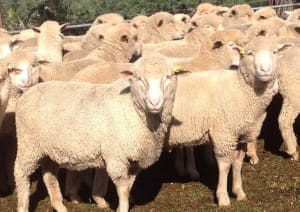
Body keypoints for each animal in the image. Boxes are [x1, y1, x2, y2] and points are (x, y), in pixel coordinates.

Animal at [13, 55, 188, 212]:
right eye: (138, 78)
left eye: (169, 76)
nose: (154, 102)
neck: (133, 109)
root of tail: (29, 92)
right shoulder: (116, 157)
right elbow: (123, 190)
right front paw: (122, 208)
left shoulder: (134, 162)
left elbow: (129, 187)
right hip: (28, 145)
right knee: (20, 173)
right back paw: (23, 206)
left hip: (50, 149)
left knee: (49, 175)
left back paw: (59, 205)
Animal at [165, 36, 292, 205]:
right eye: (249, 53)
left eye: (275, 52)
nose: (265, 70)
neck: (240, 89)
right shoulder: (224, 134)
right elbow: (225, 166)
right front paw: (223, 197)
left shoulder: (241, 135)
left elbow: (237, 163)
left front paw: (239, 192)